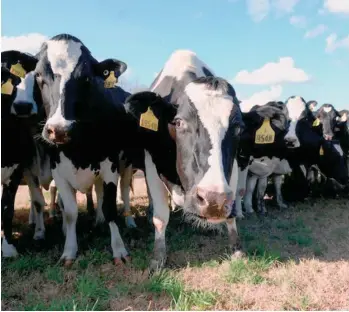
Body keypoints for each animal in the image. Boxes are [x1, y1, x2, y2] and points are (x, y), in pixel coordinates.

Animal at [123, 50, 243, 272]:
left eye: (239, 127)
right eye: (179, 122)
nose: (214, 200)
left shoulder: (233, 166)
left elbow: (231, 213)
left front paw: (236, 248)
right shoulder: (151, 163)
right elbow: (160, 217)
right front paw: (158, 258)